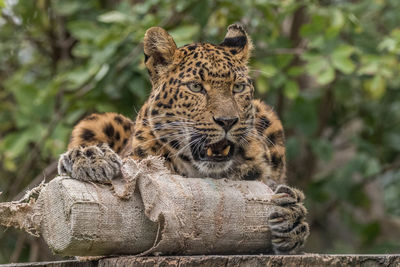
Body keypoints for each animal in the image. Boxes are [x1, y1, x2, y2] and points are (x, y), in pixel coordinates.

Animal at [58, 24, 310, 254]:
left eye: (238, 87)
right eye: (196, 87)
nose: (228, 121)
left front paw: (292, 216)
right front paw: (90, 158)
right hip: (96, 120)